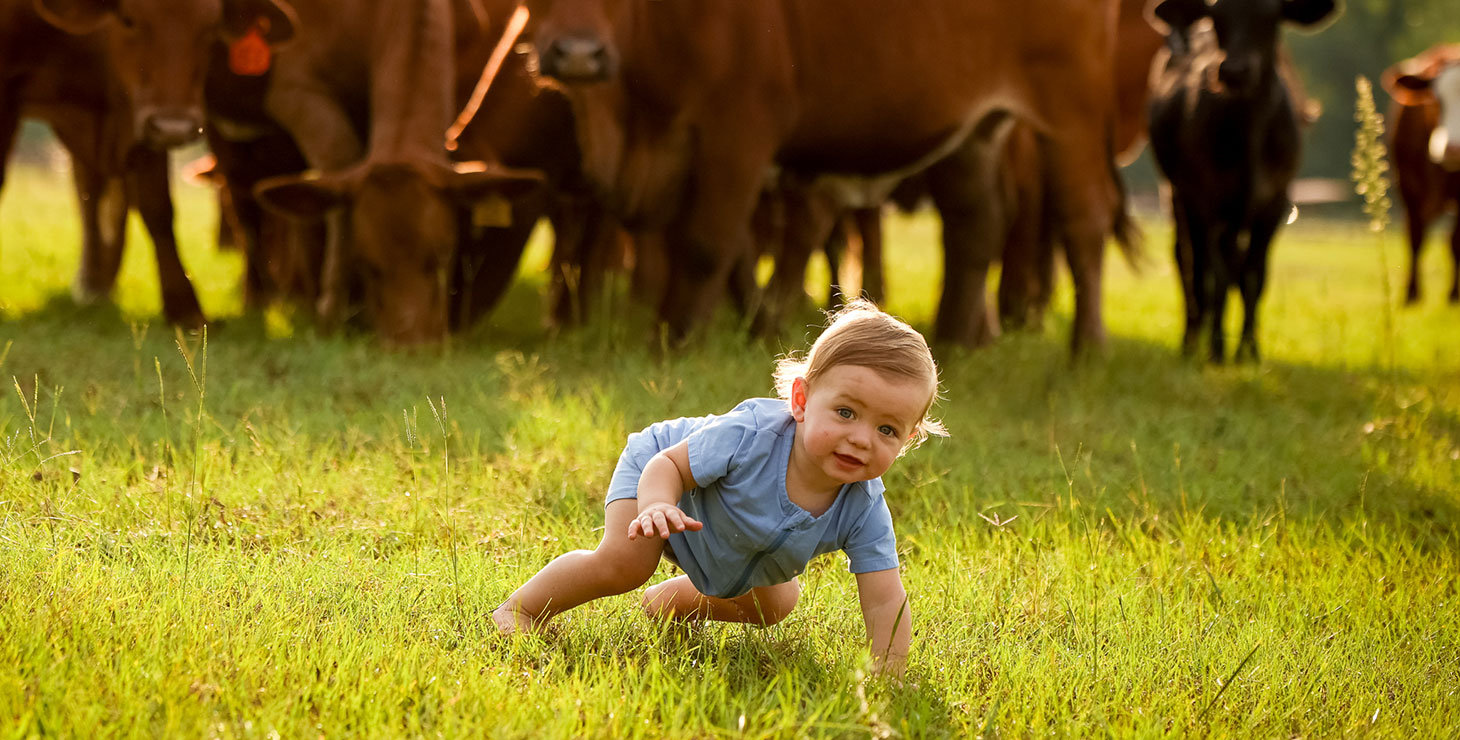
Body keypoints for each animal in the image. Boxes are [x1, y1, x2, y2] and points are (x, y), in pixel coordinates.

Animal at [525, 0, 1127, 354]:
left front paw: (675, 343)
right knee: (974, 228)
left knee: (1083, 221)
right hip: (974, 135)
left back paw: (1086, 351)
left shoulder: (738, 134)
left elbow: (705, 246)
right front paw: (749, 329)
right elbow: (719, 252)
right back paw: (954, 341)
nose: (577, 54)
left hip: (1070, 114)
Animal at [1150, 0, 1337, 361]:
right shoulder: (1202, 196)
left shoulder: (1276, 200)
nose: (1235, 71)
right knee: (1188, 261)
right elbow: (1214, 274)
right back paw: (1192, 339)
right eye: (1218, 17)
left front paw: (1249, 351)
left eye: (1270, 17)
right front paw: (1216, 349)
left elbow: (1254, 275)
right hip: (1177, 194)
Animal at [1378, 44, 1460, 305]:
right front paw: (1411, 294)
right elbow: (1415, 236)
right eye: (1436, 100)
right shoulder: (1408, 185)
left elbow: (1455, 241)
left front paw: (1453, 295)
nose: (1454, 148)